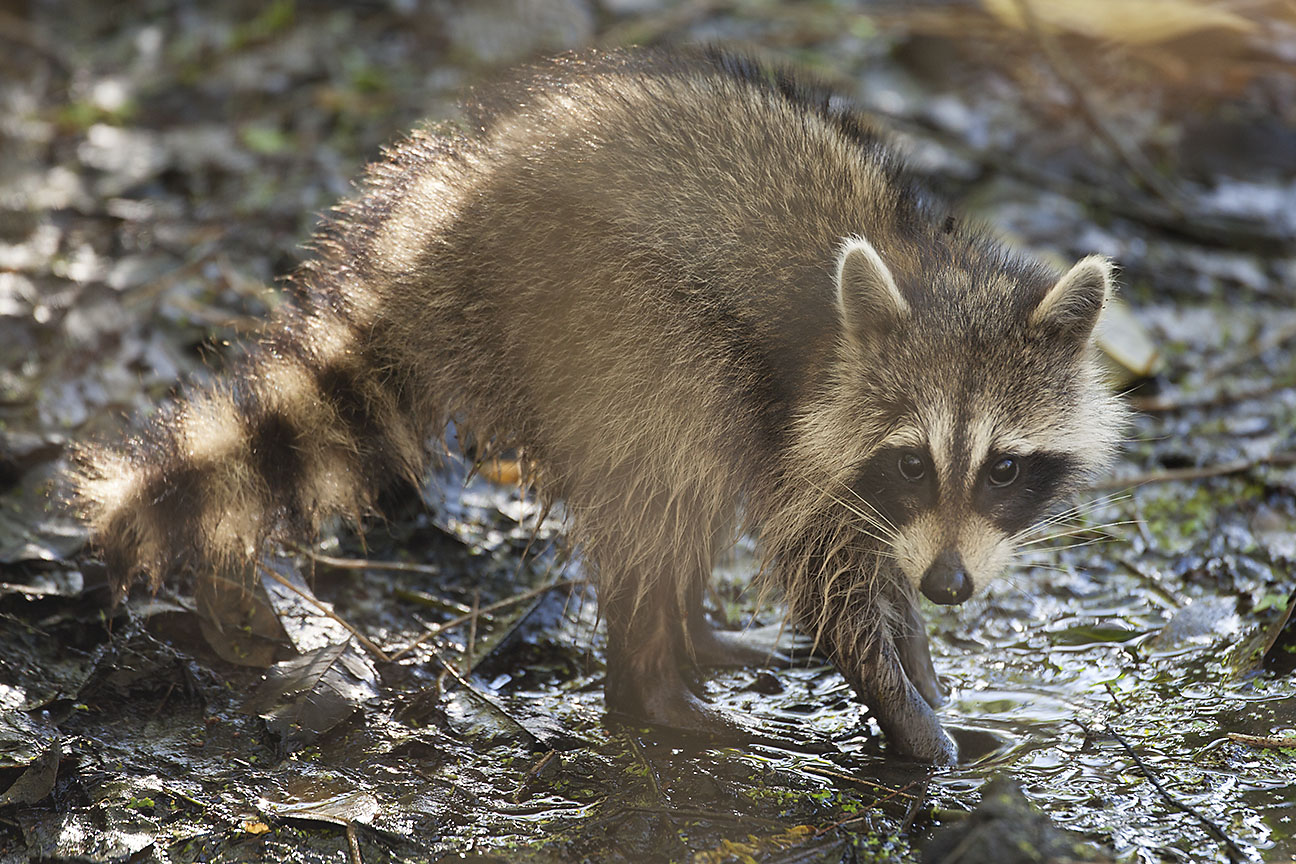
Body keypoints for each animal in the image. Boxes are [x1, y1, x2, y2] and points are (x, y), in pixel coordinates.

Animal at [68, 47, 1124, 764]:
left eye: (1003, 468)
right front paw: (904, 711)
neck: (928, 275)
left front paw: (920, 656)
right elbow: (824, 572)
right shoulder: (812, 430)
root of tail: (435, 237)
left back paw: (690, 634)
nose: (951, 587)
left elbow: (872, 559)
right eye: (914, 460)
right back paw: (652, 682)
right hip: (604, 320)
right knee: (677, 455)